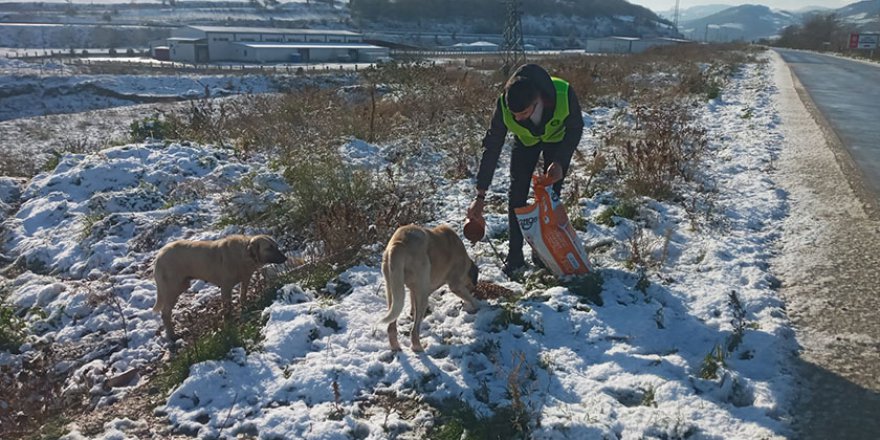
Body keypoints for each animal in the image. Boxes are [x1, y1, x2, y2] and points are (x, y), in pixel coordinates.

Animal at [152, 235, 286, 338]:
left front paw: (245, 308)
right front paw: (228, 323)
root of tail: (159, 256)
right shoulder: (226, 287)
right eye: (269, 248)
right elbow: (227, 308)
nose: (285, 258)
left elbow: (243, 296)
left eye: (276, 246)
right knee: (165, 314)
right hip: (173, 289)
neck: (243, 255)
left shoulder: (245, 280)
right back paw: (172, 336)